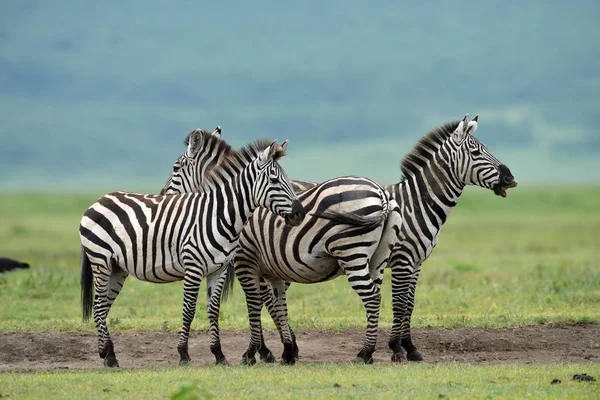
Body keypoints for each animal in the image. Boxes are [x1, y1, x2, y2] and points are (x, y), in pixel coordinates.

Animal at [78, 133, 304, 368]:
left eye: (286, 180)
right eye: (275, 181)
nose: (300, 213)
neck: (218, 215)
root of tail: (100, 199)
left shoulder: (219, 269)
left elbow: (213, 310)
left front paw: (219, 355)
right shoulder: (193, 267)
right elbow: (189, 309)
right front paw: (184, 354)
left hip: (117, 268)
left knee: (103, 306)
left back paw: (108, 353)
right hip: (101, 261)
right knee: (98, 305)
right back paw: (108, 356)